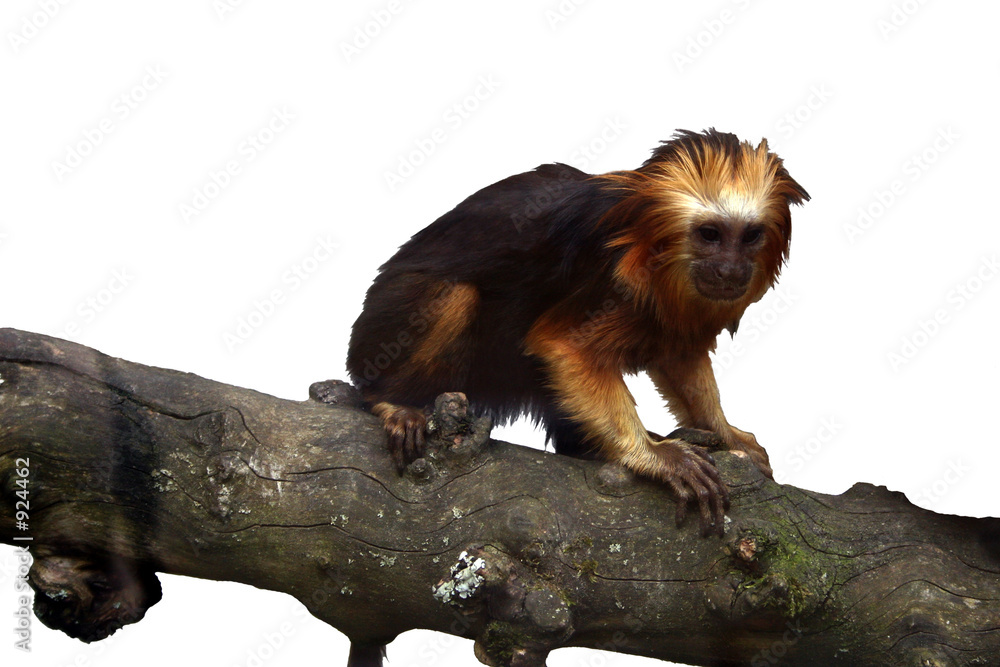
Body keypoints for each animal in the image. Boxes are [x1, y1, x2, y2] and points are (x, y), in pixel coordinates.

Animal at [347, 129, 809, 536]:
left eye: (750, 236)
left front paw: (724, 433)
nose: (731, 269)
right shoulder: (604, 270)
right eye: (710, 234)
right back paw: (390, 401)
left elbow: (678, 353)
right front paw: (653, 456)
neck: (649, 248)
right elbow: (564, 346)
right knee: (456, 296)